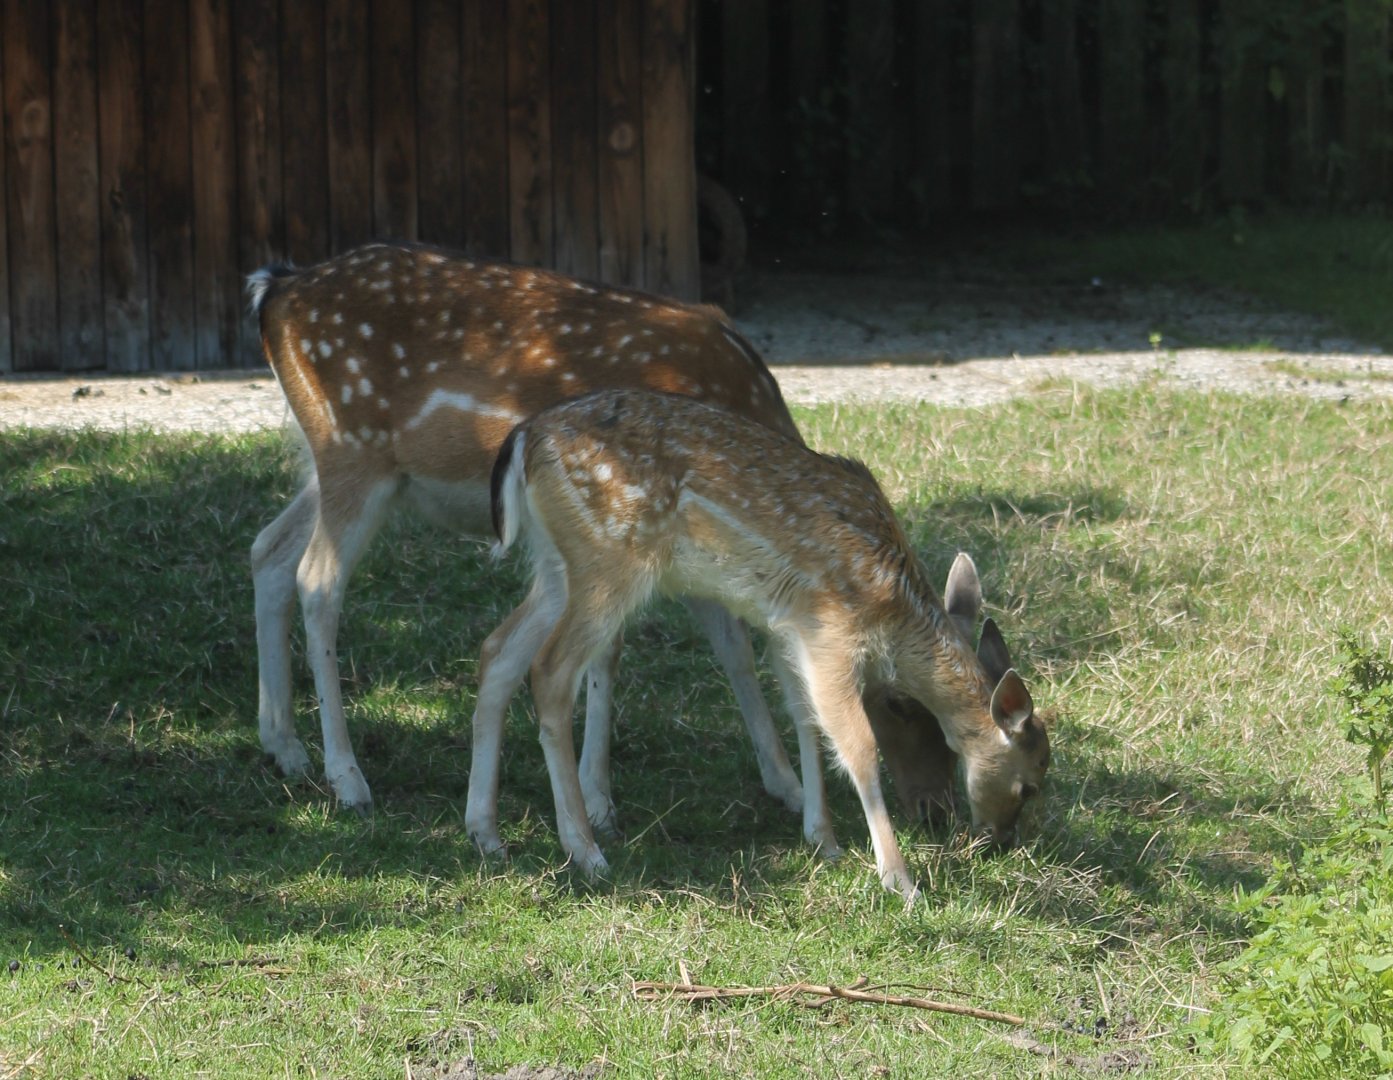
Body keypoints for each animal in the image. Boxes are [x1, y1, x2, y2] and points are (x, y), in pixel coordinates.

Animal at [246, 241, 966, 833]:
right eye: (900, 703)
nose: (937, 810)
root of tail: (274, 290)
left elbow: (729, 646)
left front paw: (782, 786)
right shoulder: (646, 521)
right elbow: (627, 651)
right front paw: (598, 799)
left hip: (344, 465)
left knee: (269, 552)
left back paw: (284, 748)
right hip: (352, 450)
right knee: (318, 581)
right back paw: (347, 778)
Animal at [468, 388, 1050, 900]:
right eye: (1030, 784)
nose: (1000, 841)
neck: (895, 604)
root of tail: (524, 441)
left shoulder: (793, 628)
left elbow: (806, 721)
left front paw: (824, 841)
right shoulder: (834, 629)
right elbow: (857, 746)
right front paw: (898, 880)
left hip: (556, 564)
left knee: (497, 650)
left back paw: (486, 834)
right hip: (608, 557)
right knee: (549, 670)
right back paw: (586, 852)